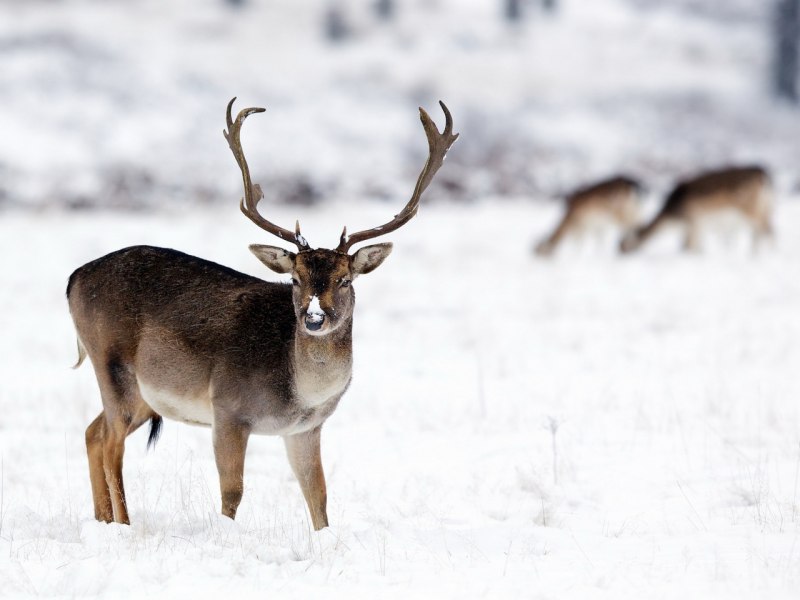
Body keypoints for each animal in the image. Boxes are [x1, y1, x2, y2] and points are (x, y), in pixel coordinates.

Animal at [66, 98, 458, 531]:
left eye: (344, 279)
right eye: (295, 278)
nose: (314, 318)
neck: (300, 392)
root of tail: (73, 278)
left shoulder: (306, 429)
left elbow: (319, 497)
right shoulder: (228, 409)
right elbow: (233, 492)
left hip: (142, 398)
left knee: (93, 432)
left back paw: (102, 521)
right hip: (113, 365)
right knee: (111, 445)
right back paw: (125, 524)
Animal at [620, 166, 773, 254]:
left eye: (623, 247)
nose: (620, 255)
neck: (673, 217)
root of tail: (764, 175)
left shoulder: (692, 222)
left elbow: (687, 247)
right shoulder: (697, 227)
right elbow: (697, 247)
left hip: (751, 210)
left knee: (768, 231)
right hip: (767, 207)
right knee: (762, 232)